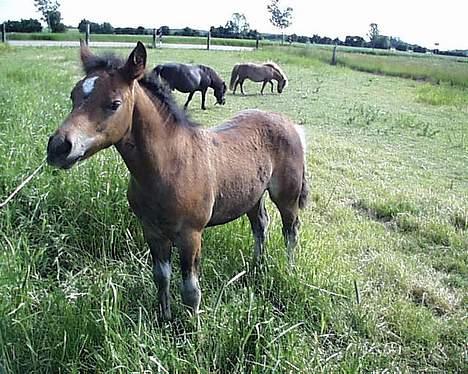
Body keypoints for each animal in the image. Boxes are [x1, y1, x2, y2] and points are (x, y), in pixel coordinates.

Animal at [44, 41, 308, 322]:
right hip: (252, 195)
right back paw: (257, 267)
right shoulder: (151, 230)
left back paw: (289, 269)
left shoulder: (191, 234)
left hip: (287, 195)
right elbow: (161, 277)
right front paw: (164, 318)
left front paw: (193, 327)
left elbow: (191, 290)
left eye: (114, 103)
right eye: (73, 96)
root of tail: (290, 124)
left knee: (290, 230)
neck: (170, 165)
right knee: (260, 225)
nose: (59, 147)